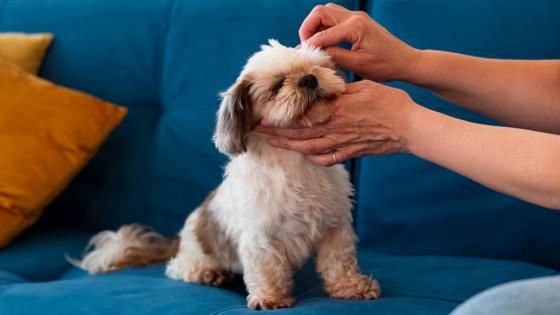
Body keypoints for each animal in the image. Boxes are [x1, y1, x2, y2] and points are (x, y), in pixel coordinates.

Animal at [74, 39, 380, 312]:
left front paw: (352, 287)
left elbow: (338, 262)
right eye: (277, 86)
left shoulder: (335, 226)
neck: (295, 163)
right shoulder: (260, 237)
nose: (308, 79)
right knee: (178, 268)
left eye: (318, 67)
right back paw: (209, 274)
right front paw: (270, 298)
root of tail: (180, 240)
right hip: (198, 255)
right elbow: (267, 269)